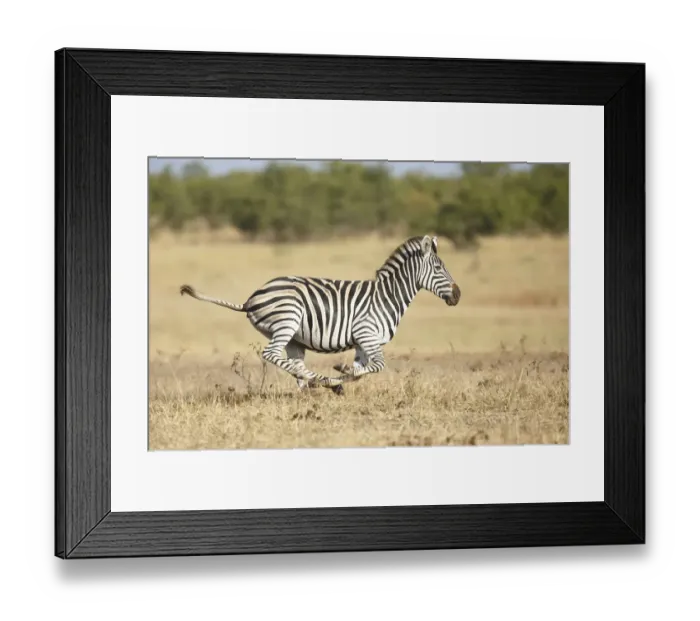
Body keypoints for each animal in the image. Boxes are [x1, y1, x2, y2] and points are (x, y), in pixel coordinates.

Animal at [179, 234, 461, 395]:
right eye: (438, 268)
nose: (458, 295)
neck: (387, 296)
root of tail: (251, 299)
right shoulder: (367, 334)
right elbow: (377, 366)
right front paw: (341, 372)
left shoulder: (363, 342)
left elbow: (362, 371)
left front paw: (344, 376)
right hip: (288, 320)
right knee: (272, 355)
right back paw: (321, 381)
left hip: (294, 338)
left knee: (294, 364)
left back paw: (316, 384)